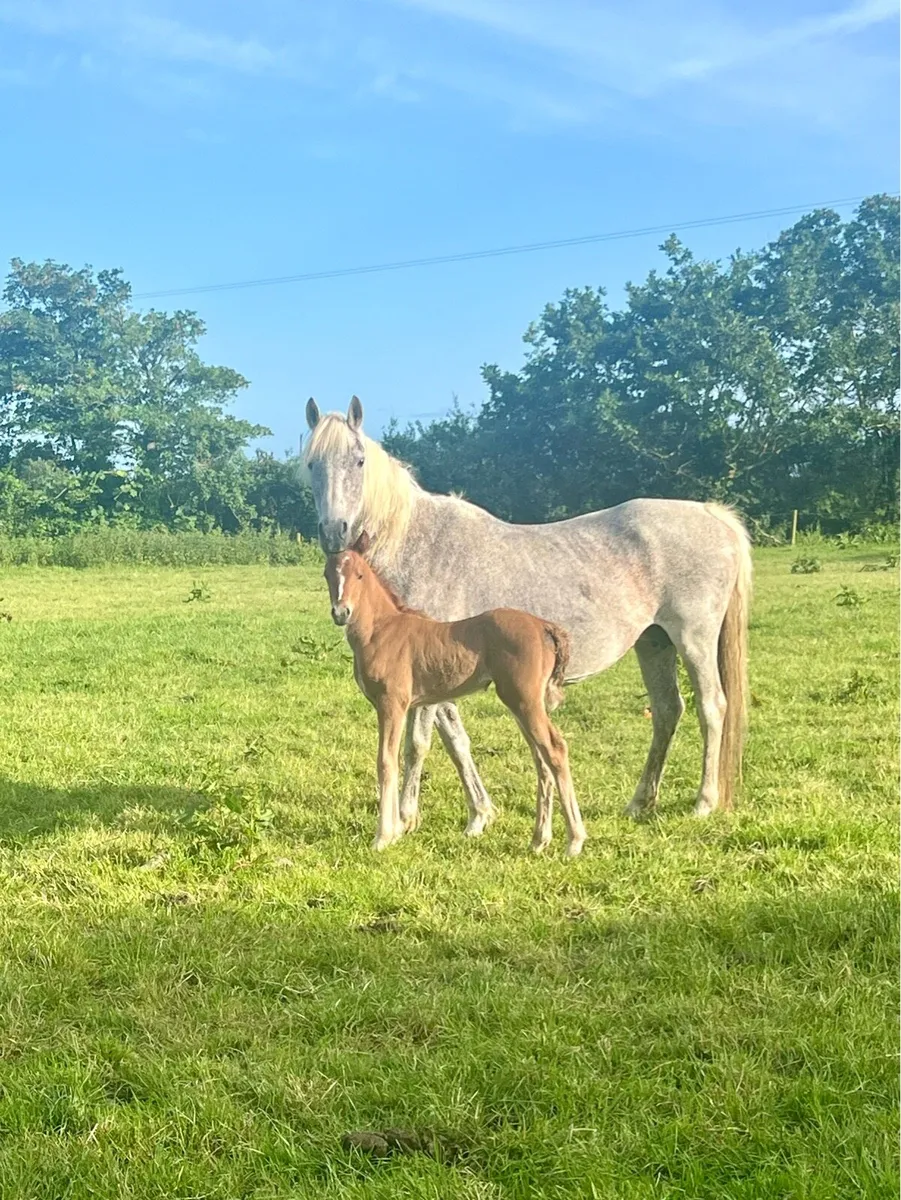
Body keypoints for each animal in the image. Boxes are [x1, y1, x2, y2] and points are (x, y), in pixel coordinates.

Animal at [324, 532, 586, 855]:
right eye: (327, 574)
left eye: (359, 574)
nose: (341, 612)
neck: (380, 631)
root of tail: (543, 626)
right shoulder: (411, 704)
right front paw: (398, 829)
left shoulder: (391, 704)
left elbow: (386, 761)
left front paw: (383, 836)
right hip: (524, 703)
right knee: (541, 757)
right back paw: (539, 840)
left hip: (524, 701)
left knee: (555, 748)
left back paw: (574, 841)